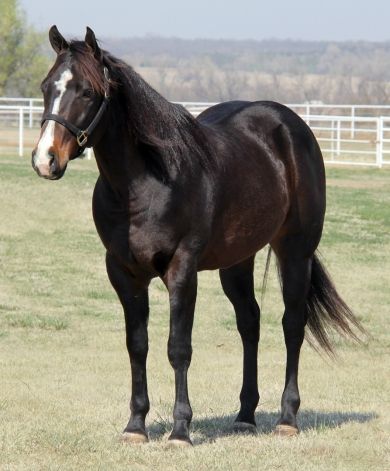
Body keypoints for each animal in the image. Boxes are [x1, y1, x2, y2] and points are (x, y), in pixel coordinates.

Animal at [31, 26, 362, 450]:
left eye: (87, 92)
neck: (146, 182)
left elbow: (178, 347)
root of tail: (290, 126)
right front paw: (135, 425)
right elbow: (137, 345)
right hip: (237, 261)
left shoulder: (182, 270)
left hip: (295, 252)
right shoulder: (123, 273)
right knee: (249, 323)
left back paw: (287, 418)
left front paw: (180, 430)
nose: (45, 160)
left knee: (292, 324)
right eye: (46, 86)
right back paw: (245, 416)